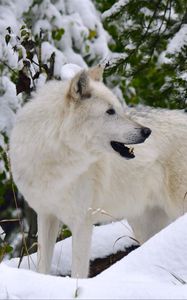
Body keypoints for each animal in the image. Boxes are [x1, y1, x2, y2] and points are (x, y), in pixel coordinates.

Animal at [9, 67, 187, 278]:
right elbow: (42, 268)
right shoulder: (46, 215)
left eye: (119, 108)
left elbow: (78, 272)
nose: (147, 132)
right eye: (110, 111)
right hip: (145, 225)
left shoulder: (82, 223)